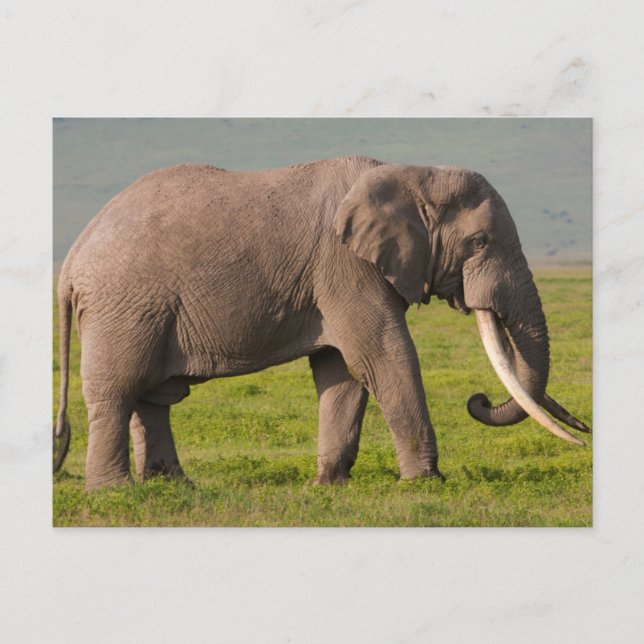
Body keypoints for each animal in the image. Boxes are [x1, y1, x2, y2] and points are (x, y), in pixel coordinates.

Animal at [53, 156, 590, 489]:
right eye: (479, 243)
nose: (477, 400)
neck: (413, 173)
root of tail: (73, 258)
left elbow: (342, 371)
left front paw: (329, 486)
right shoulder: (345, 265)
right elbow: (383, 355)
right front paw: (426, 483)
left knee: (152, 398)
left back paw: (175, 487)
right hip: (125, 306)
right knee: (118, 392)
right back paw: (115, 492)